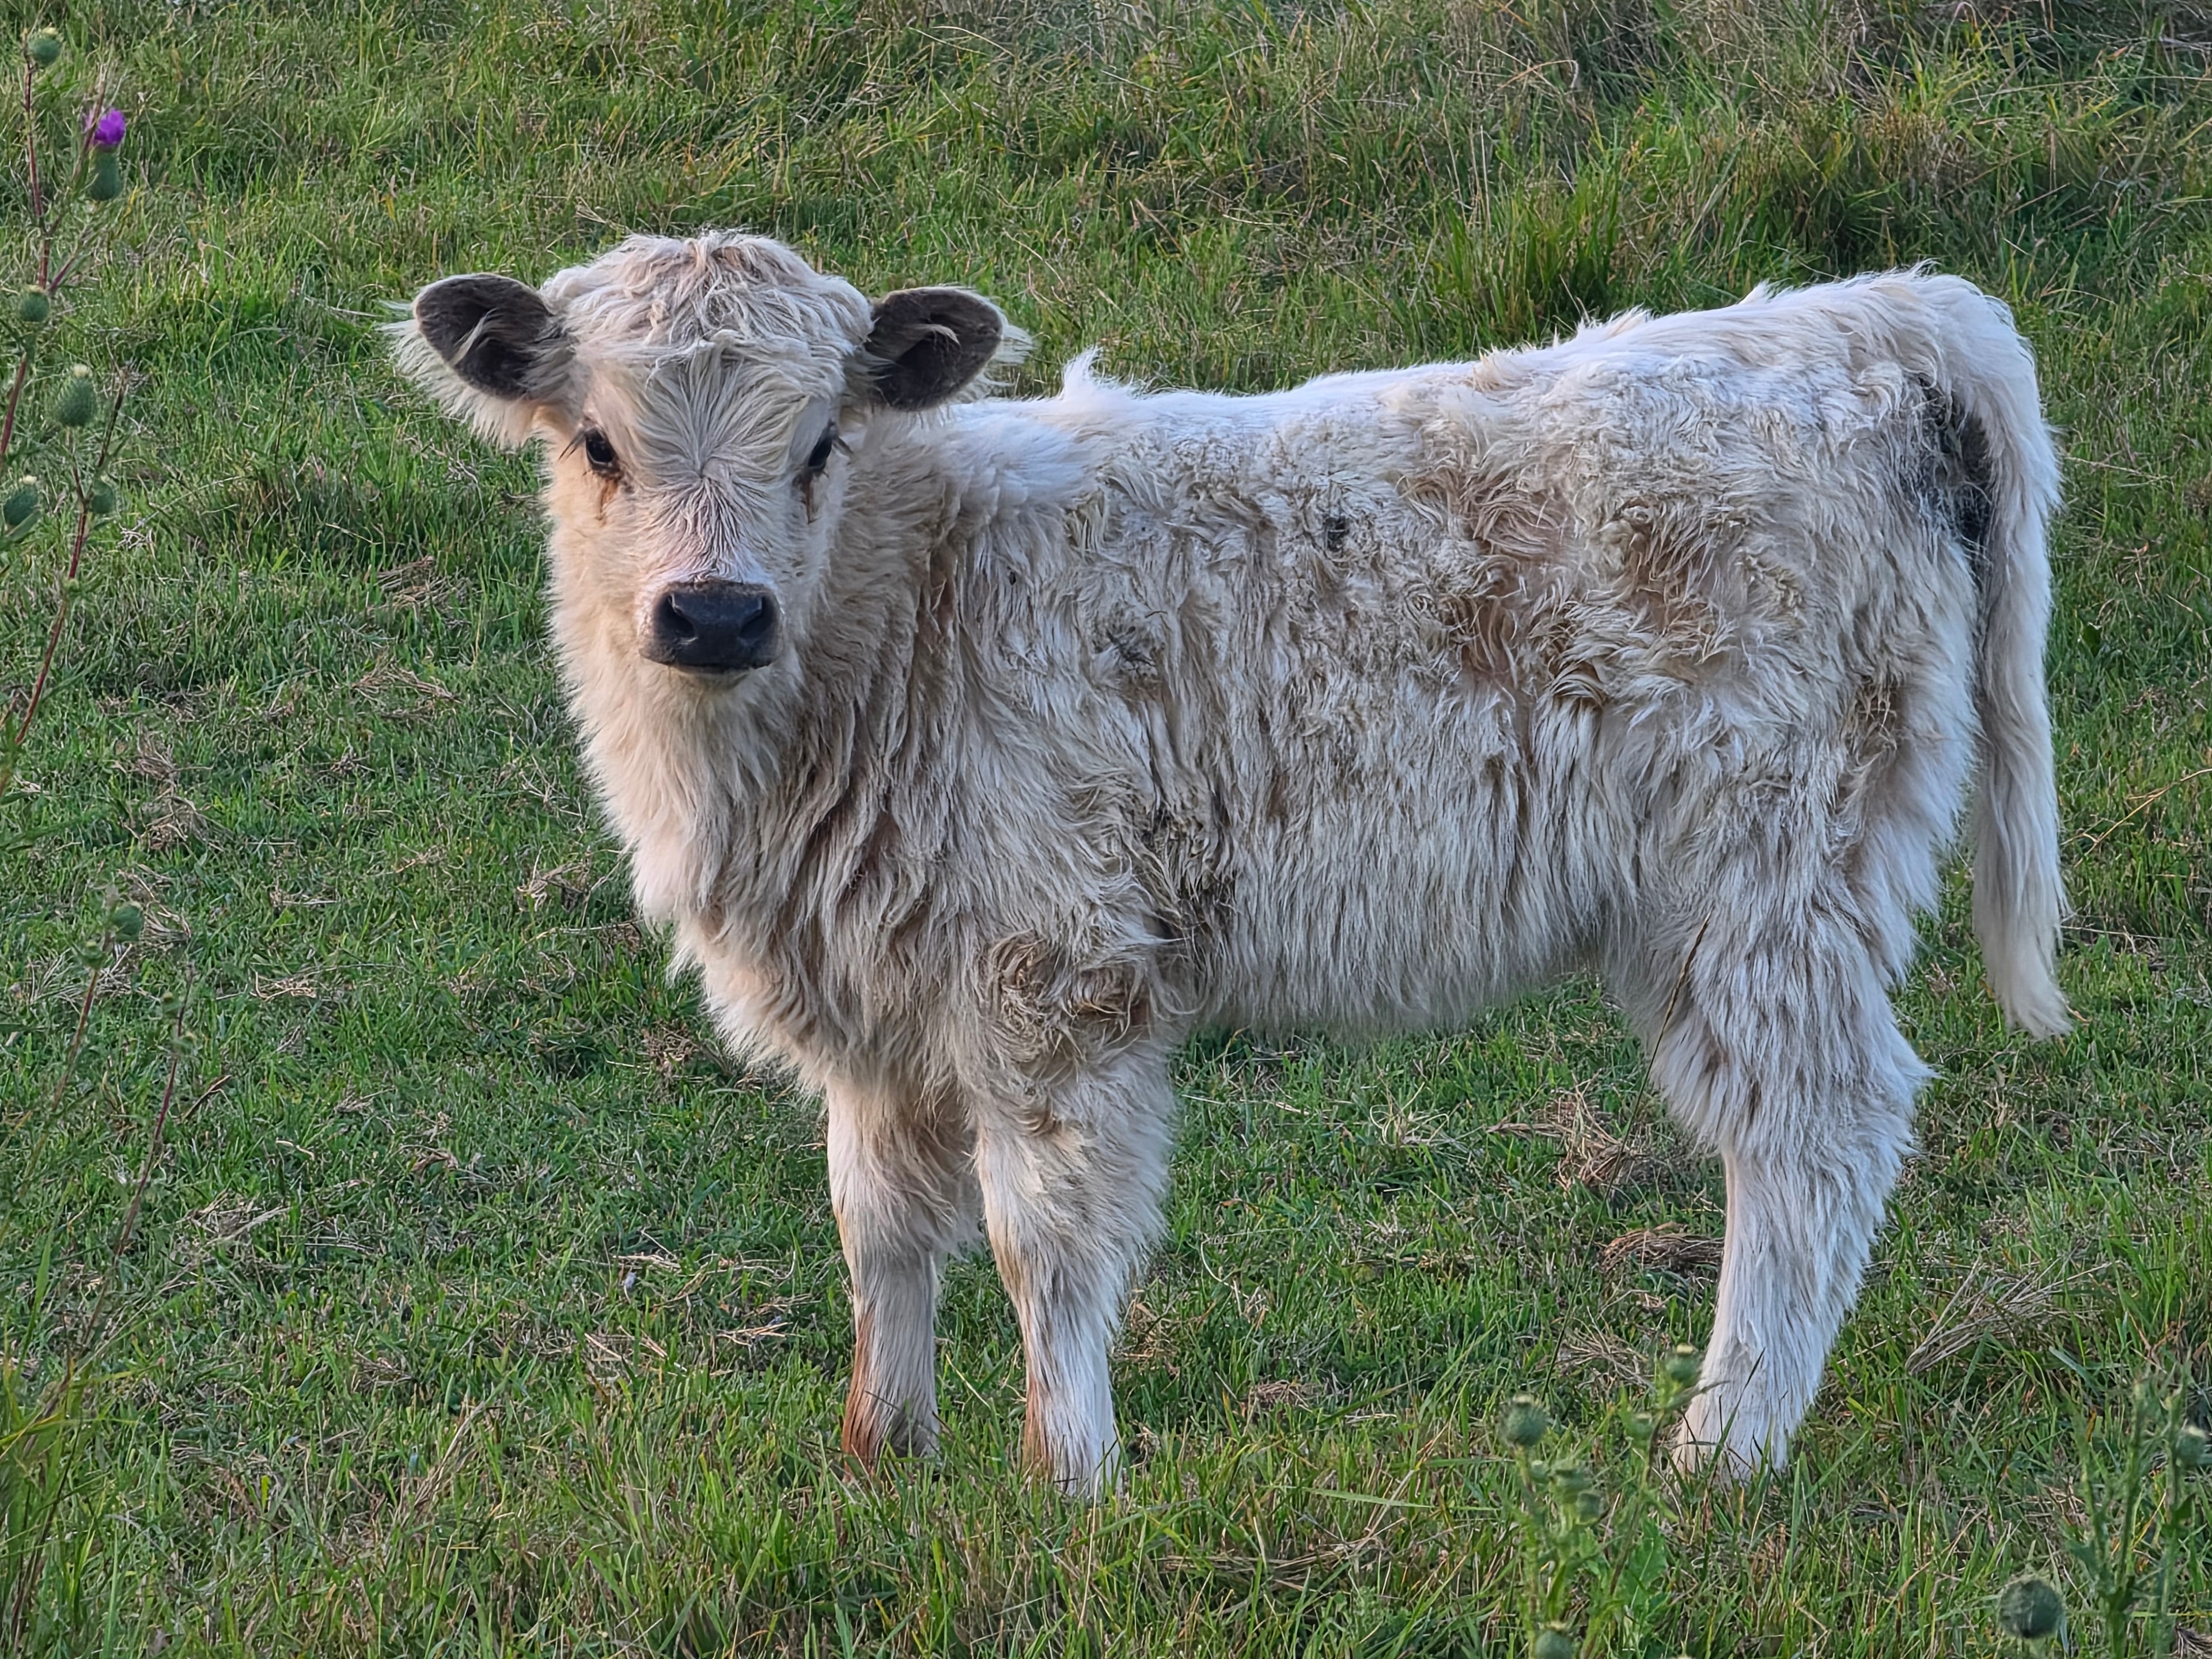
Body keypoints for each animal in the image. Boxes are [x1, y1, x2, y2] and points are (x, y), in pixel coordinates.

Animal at [394, 233, 2067, 1496]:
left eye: (818, 445)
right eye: (596, 443)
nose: (714, 612)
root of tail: (1854, 317)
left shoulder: (1053, 978)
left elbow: (1043, 1237)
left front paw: (1069, 1478)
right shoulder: (876, 1007)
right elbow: (879, 1228)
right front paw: (887, 1450)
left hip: (1762, 877)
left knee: (1811, 1133)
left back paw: (1719, 1451)